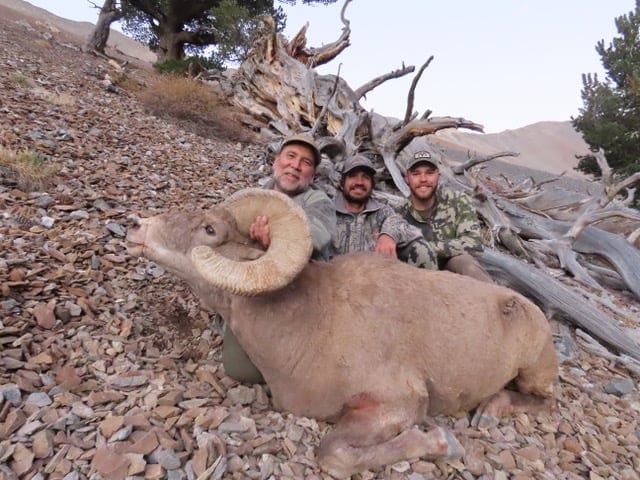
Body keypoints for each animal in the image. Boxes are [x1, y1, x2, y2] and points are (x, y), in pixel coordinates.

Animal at [126, 188, 559, 478]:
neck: (310, 323)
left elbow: (333, 454)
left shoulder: (396, 404)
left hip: (533, 372)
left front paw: (439, 444)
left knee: (544, 402)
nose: (136, 227)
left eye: (209, 229)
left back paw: (489, 411)